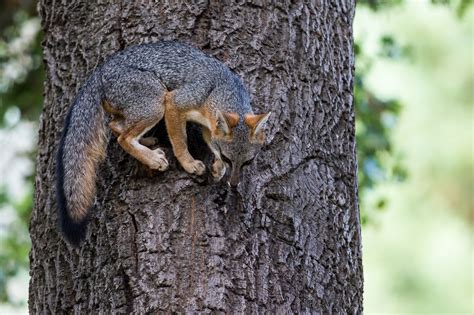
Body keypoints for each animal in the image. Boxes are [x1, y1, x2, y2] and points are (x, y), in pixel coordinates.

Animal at [56, 40, 270, 246]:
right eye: (228, 157)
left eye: (248, 162)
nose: (233, 184)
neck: (219, 88)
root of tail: (100, 71)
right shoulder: (174, 103)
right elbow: (180, 141)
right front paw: (189, 163)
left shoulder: (208, 125)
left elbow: (212, 144)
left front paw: (217, 168)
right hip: (156, 103)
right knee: (123, 138)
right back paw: (152, 159)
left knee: (115, 125)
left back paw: (146, 141)